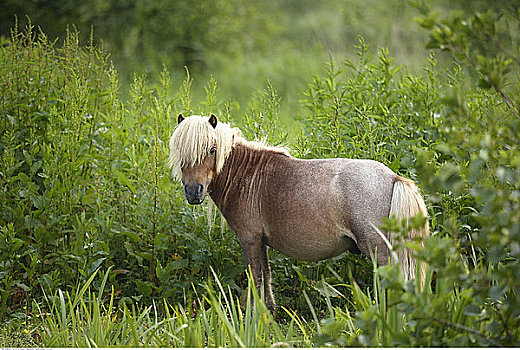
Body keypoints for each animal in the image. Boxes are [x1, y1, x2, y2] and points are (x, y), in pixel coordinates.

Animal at [169, 113, 428, 310]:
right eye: (180, 153)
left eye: (212, 149)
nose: (194, 192)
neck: (247, 176)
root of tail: (394, 178)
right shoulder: (261, 242)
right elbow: (266, 275)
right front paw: (268, 311)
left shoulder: (249, 239)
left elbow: (255, 276)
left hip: (379, 252)